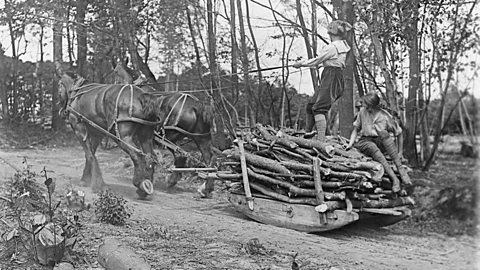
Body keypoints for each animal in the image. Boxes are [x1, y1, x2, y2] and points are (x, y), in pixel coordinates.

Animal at [57, 67, 159, 198]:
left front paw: (97, 183)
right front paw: (86, 179)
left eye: (59, 85)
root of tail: (141, 97)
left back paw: (140, 183)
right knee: (150, 156)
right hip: (146, 136)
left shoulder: (79, 129)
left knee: (137, 155)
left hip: (122, 137)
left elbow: (89, 155)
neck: (77, 91)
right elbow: (91, 154)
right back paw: (145, 186)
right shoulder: (97, 133)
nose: (60, 108)